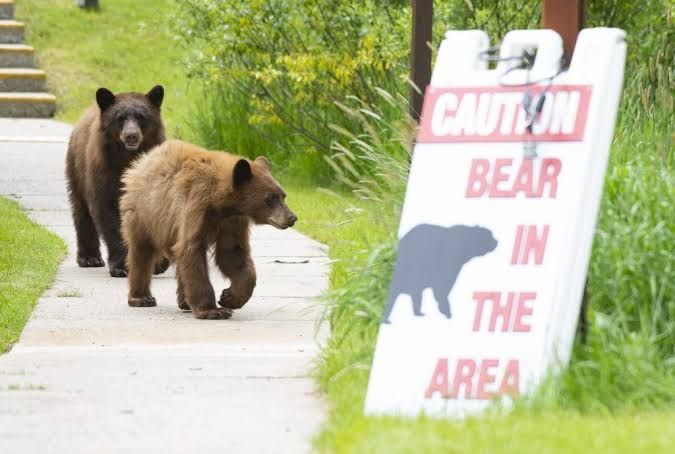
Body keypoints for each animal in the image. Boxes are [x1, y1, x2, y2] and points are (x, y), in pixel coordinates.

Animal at [65, 85, 169, 278]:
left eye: (141, 116)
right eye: (120, 118)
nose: (131, 136)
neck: (128, 158)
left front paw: (158, 263)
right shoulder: (104, 172)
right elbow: (109, 215)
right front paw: (121, 266)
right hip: (77, 169)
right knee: (81, 210)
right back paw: (89, 258)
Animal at [120, 140, 298, 320]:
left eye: (283, 195)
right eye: (270, 198)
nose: (292, 218)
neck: (221, 202)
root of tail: (142, 161)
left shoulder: (232, 221)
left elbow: (233, 252)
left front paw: (230, 298)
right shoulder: (196, 204)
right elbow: (191, 248)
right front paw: (213, 310)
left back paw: (185, 302)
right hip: (145, 214)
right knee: (141, 252)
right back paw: (141, 298)